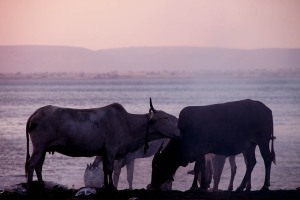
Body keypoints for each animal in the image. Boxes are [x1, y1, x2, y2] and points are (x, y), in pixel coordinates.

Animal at [25, 98, 178, 189]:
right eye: (164, 118)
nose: (178, 130)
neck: (128, 124)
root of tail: (36, 112)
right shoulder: (111, 150)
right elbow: (110, 170)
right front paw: (110, 187)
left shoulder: (106, 153)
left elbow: (106, 170)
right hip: (39, 147)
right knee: (31, 164)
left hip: (43, 149)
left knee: (38, 166)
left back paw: (41, 185)